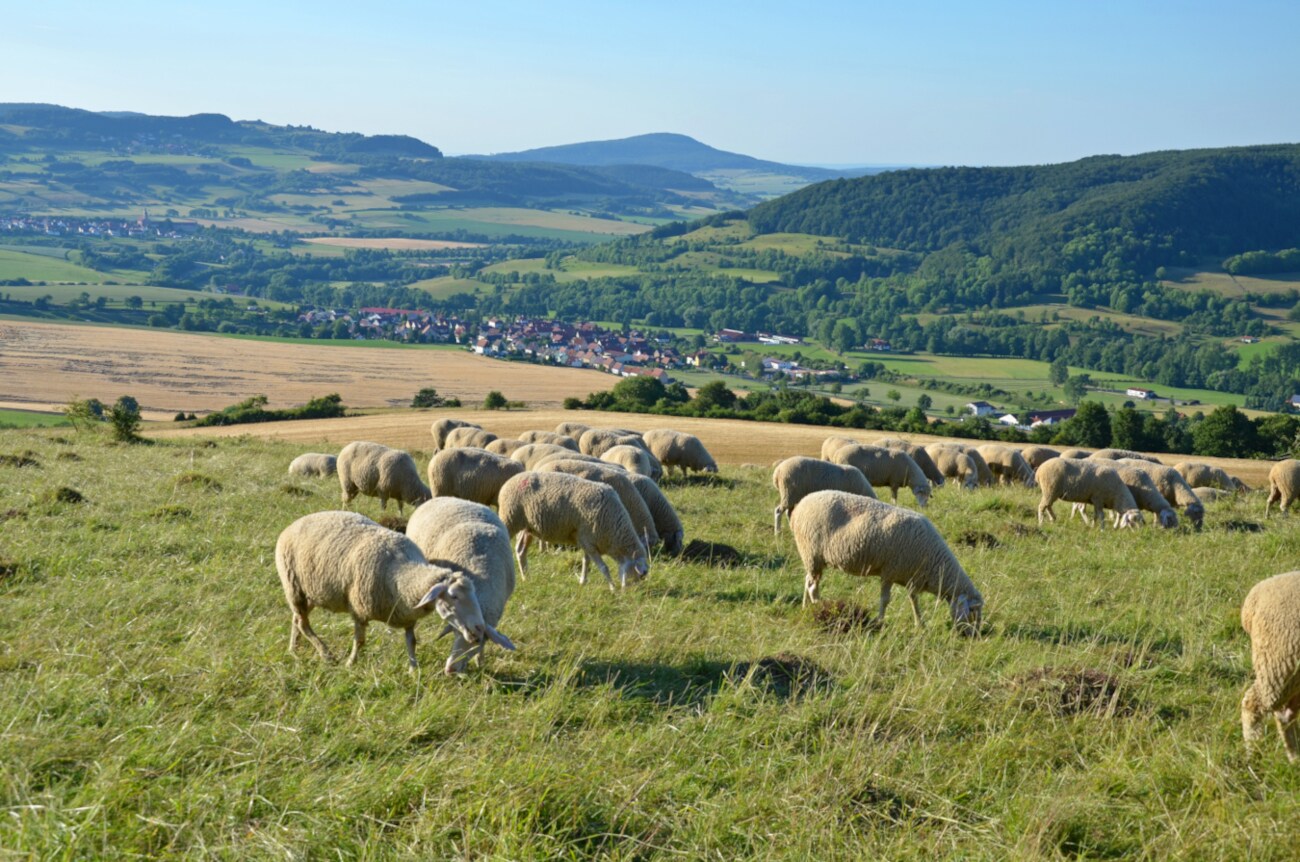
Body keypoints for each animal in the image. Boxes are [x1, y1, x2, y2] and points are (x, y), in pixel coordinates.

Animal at [275, 510, 513, 670]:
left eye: (474, 596)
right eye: (453, 596)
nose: (478, 628)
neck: (401, 575)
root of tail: (295, 522)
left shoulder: (407, 615)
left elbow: (411, 641)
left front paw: (413, 669)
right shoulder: (359, 609)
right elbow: (359, 641)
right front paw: (351, 663)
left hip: (308, 593)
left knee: (297, 619)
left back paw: (293, 649)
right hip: (293, 587)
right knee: (303, 623)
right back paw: (326, 654)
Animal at [498, 471, 649, 590]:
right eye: (640, 575)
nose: (630, 593)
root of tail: (510, 481)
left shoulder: (587, 541)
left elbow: (586, 562)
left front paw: (583, 581)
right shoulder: (589, 542)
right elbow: (603, 567)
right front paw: (613, 588)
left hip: (527, 527)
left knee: (520, 551)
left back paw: (526, 577)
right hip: (510, 517)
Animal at [789, 490, 983, 634]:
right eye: (973, 611)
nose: (974, 635)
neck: (934, 560)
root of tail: (800, 505)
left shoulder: (911, 576)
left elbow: (913, 600)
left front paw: (919, 623)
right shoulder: (889, 571)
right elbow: (885, 600)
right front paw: (880, 622)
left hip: (812, 559)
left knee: (808, 581)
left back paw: (806, 608)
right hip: (812, 553)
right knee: (813, 588)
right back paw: (820, 609)